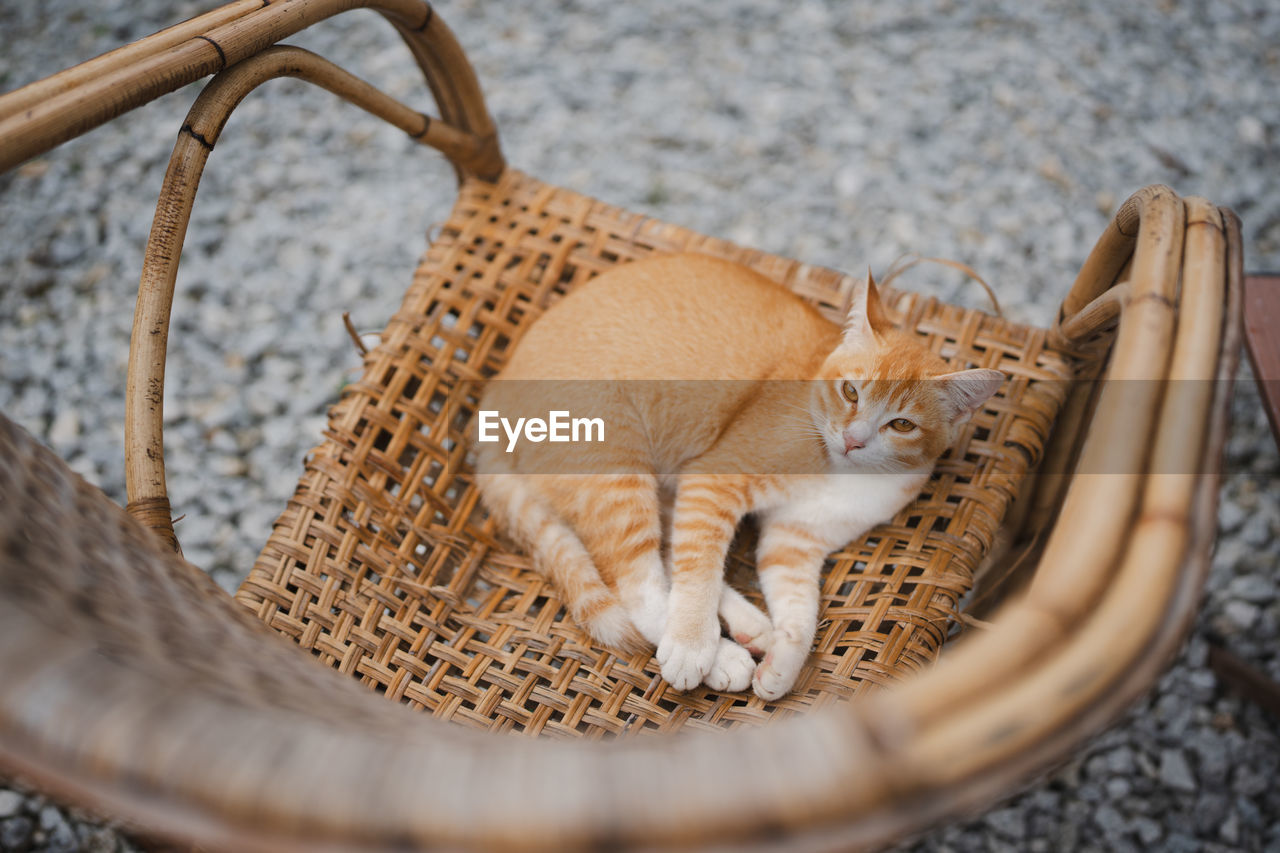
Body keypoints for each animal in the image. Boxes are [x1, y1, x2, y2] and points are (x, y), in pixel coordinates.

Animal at [476, 253, 1003, 696]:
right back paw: (718, 655)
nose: (853, 440)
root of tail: (495, 392)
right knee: (639, 585)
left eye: (902, 425)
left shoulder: (793, 543)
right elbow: (699, 568)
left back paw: (751, 628)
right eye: (851, 391)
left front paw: (782, 667)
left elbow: (800, 614)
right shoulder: (712, 481)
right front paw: (692, 643)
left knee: (665, 554)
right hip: (617, 466)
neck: (844, 472)